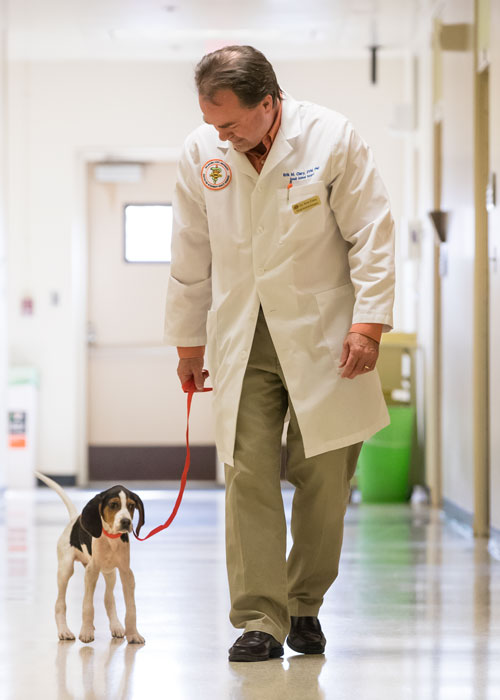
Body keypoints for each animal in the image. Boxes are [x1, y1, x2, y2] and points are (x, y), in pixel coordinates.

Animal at [36, 470, 146, 644]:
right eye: (113, 505)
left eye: (131, 506)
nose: (126, 522)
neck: (111, 539)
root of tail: (74, 519)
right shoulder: (91, 572)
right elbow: (87, 606)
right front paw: (86, 632)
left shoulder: (126, 573)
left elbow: (131, 609)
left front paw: (134, 634)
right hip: (65, 570)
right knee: (60, 604)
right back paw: (64, 631)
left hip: (110, 573)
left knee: (108, 599)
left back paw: (116, 626)